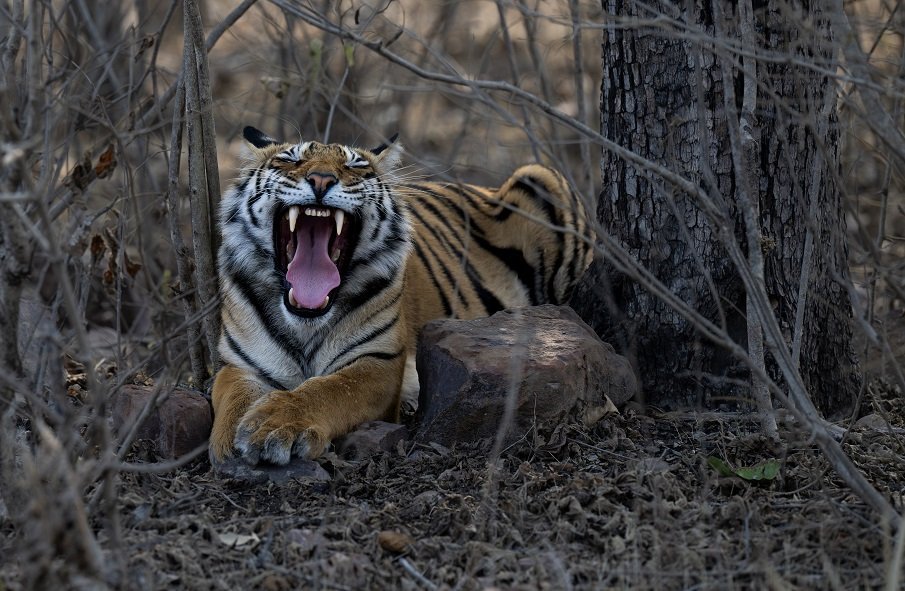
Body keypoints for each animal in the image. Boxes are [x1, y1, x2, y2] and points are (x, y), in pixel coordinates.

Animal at [209, 126, 594, 465]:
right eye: (290, 159)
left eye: (356, 166)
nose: (321, 180)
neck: (306, 319)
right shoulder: (239, 363)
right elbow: (231, 394)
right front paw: (230, 438)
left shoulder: (378, 361)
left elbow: (327, 390)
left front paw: (271, 425)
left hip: (540, 176)